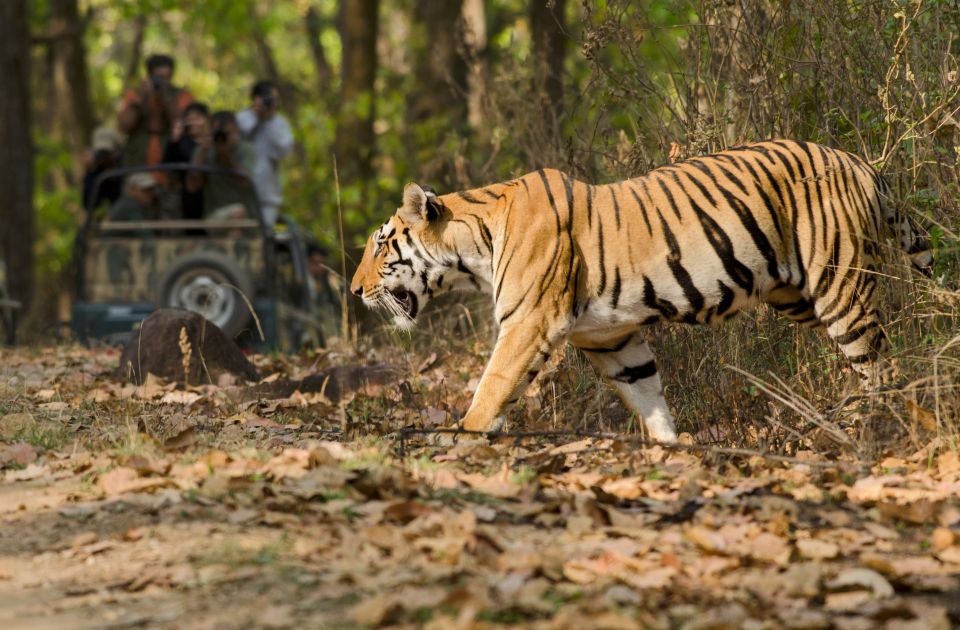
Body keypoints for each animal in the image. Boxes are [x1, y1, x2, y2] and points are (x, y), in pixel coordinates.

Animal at [350, 140, 930, 442]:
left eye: (380, 244)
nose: (355, 291)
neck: (475, 247)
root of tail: (862, 163)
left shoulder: (527, 324)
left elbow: (491, 386)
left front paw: (462, 436)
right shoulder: (610, 337)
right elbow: (646, 394)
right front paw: (669, 452)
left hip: (840, 284)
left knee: (882, 363)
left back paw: (881, 426)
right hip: (796, 296)